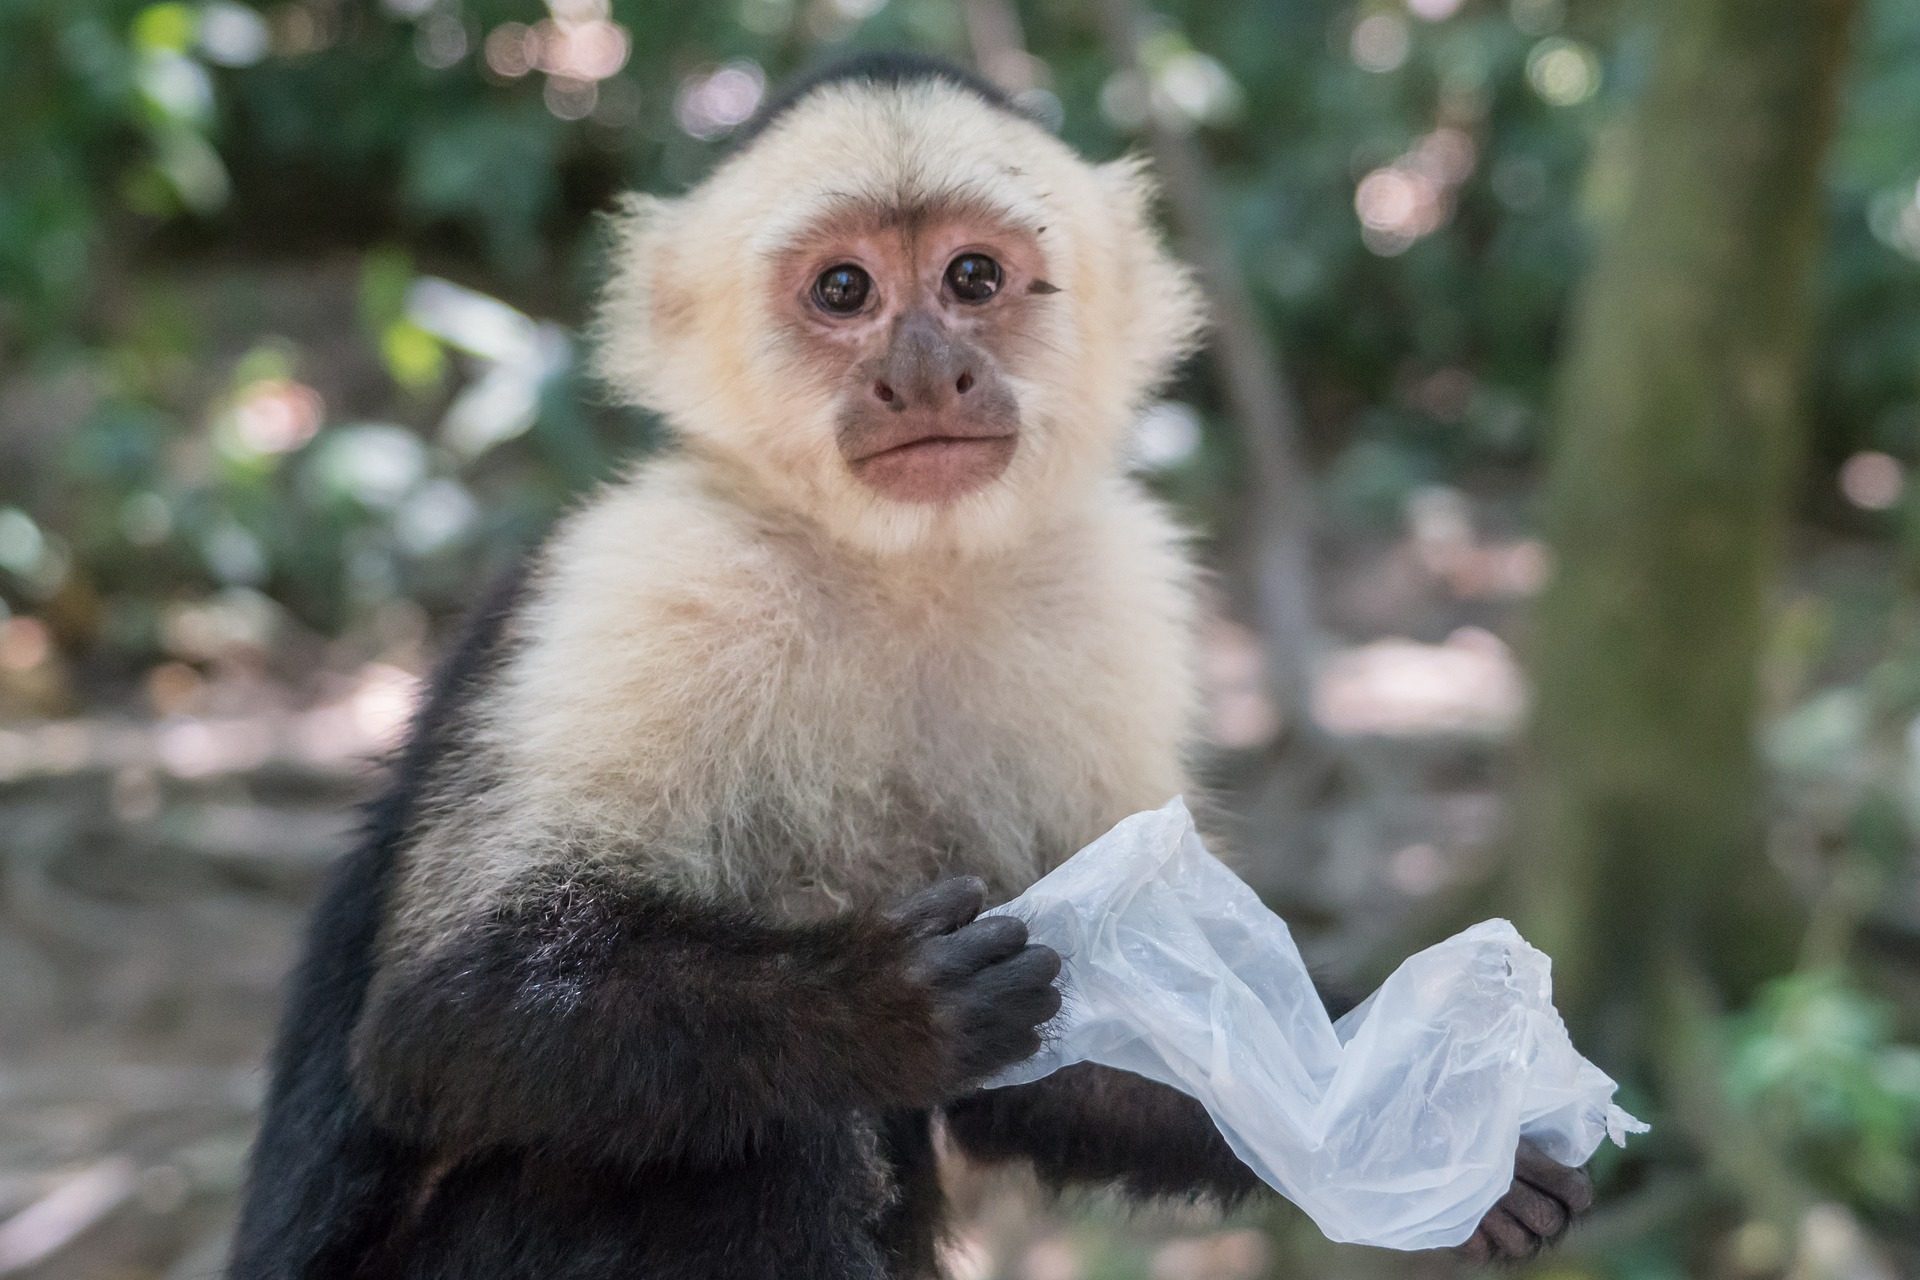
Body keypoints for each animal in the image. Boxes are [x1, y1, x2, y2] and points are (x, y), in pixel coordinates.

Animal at [232, 52, 1597, 1280]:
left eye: (973, 277)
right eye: (844, 289)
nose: (926, 369)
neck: (902, 568)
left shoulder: (1110, 592)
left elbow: (1098, 1036)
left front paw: (1430, 1126)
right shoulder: (651, 573)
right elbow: (448, 1014)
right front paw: (868, 1005)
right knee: (754, 1150)